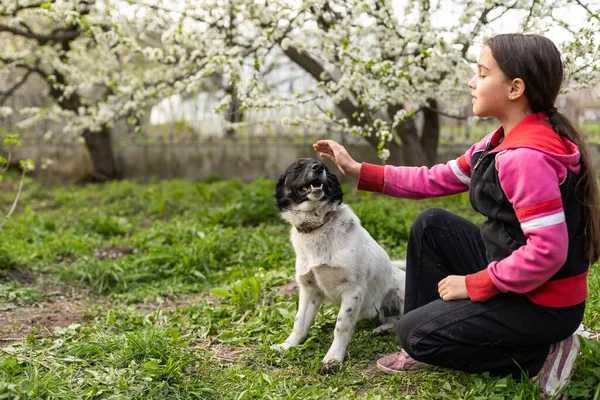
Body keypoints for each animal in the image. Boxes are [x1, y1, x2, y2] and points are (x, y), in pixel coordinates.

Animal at [274, 158, 408, 374]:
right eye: (298, 166)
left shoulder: (352, 290)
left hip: (401, 293)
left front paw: (332, 359)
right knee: (393, 320)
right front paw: (288, 345)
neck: (317, 227)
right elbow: (299, 322)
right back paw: (381, 329)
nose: (318, 167)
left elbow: (341, 326)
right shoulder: (309, 290)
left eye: (323, 166)